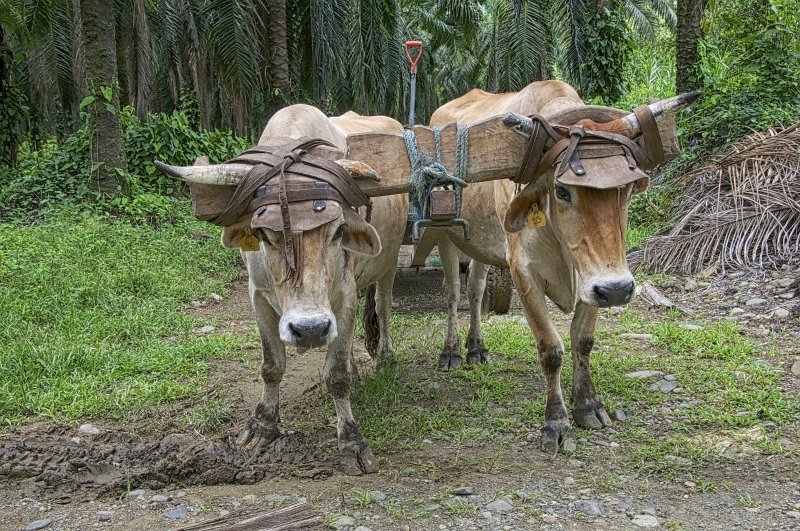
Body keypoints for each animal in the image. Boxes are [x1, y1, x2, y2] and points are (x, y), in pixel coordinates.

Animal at [156, 104, 406, 474]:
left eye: (339, 230)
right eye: (263, 234)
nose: (310, 329)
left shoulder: (344, 295)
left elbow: (336, 375)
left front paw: (351, 440)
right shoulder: (258, 296)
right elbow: (272, 365)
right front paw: (262, 426)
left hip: (388, 262)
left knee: (383, 307)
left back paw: (385, 355)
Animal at [427, 80, 697, 453]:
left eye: (628, 189)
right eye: (562, 190)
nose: (619, 290)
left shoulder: (593, 279)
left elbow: (583, 340)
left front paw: (588, 405)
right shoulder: (523, 274)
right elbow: (551, 349)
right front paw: (555, 421)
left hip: (480, 243)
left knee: (476, 290)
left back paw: (476, 348)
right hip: (445, 234)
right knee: (453, 293)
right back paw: (451, 352)